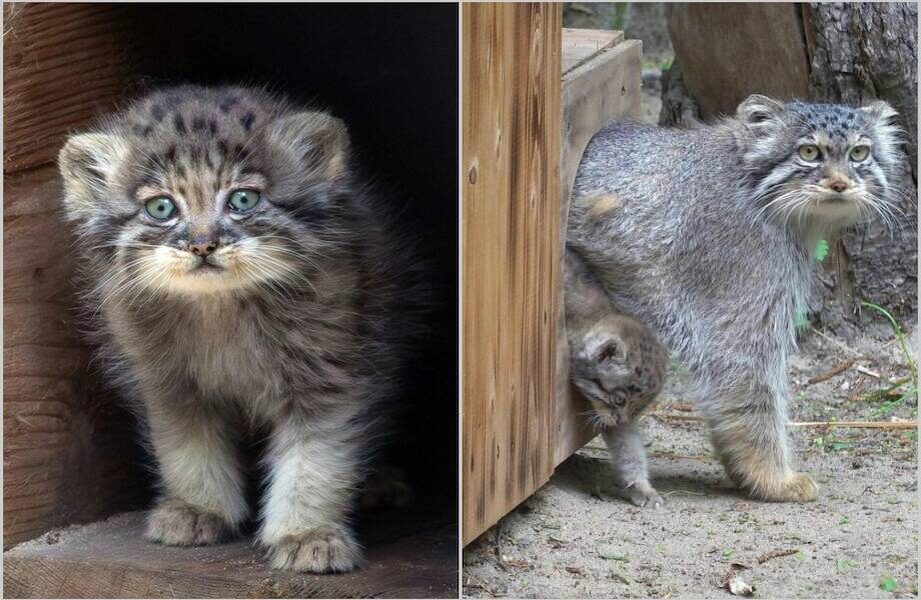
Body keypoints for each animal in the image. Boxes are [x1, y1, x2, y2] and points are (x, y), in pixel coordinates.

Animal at [60, 83, 424, 572]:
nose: (202, 245)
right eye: (161, 207)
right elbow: (187, 449)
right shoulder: (169, 383)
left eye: (243, 200)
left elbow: (316, 460)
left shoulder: (331, 374)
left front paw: (307, 533)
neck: (220, 310)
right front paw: (198, 508)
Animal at [568, 96, 900, 504]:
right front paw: (772, 478)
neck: (759, 194)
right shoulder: (742, 312)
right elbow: (752, 390)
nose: (840, 183)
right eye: (809, 152)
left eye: (858, 153)